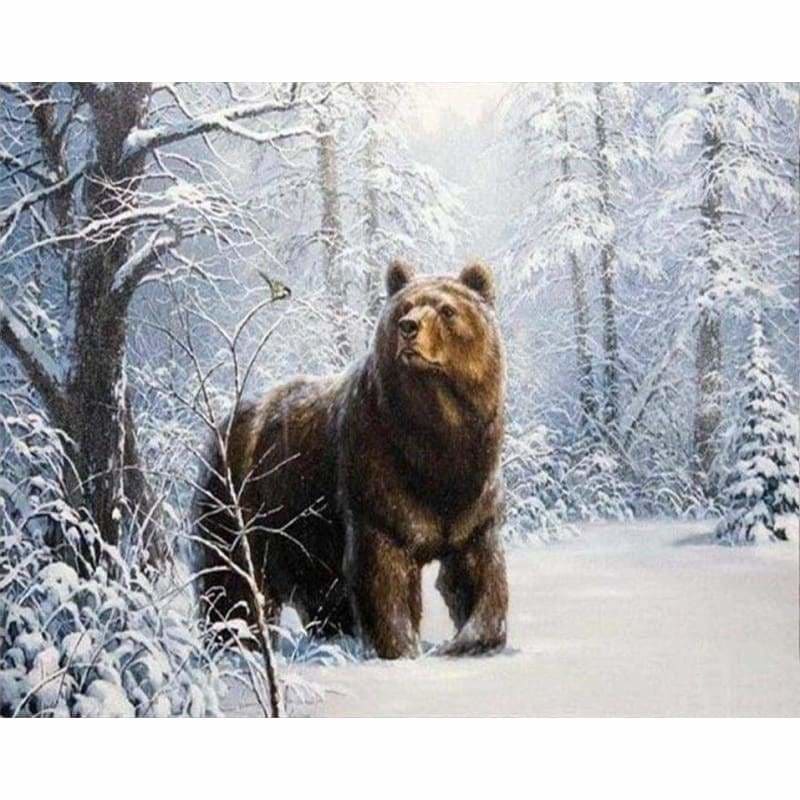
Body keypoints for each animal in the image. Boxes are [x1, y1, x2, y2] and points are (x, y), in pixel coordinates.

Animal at [194, 260, 508, 659]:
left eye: (447, 310)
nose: (409, 328)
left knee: (321, 592)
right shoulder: (377, 479)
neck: (436, 438)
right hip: (240, 506)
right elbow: (383, 575)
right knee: (232, 582)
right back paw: (236, 644)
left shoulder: (472, 492)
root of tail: (223, 425)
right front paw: (402, 647)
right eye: (404, 308)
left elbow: (479, 571)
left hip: (304, 530)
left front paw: (467, 640)